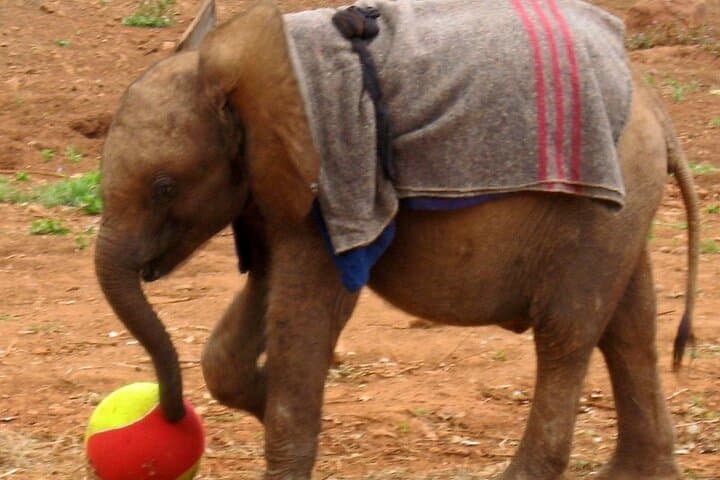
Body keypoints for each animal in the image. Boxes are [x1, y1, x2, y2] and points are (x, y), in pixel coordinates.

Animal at [94, 0, 700, 479]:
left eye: (164, 186)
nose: (166, 416)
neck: (245, 61)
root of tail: (656, 106)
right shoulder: (275, 188)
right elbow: (254, 309)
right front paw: (264, 399)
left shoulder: (334, 179)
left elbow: (305, 315)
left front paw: (276, 414)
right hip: (624, 205)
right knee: (628, 326)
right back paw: (634, 474)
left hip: (599, 201)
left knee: (565, 332)